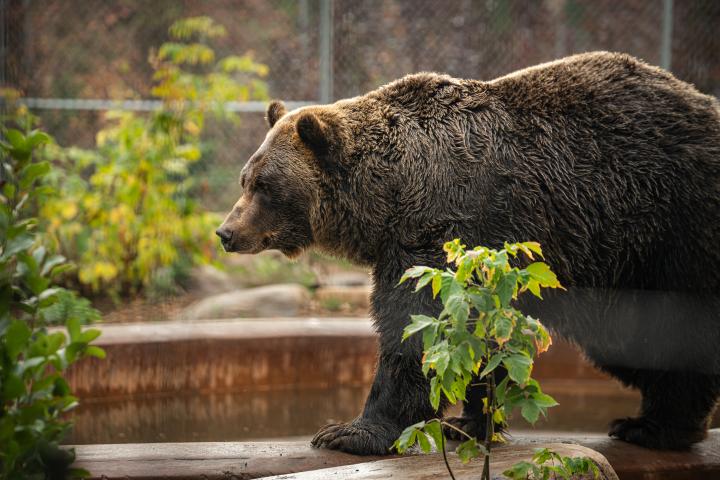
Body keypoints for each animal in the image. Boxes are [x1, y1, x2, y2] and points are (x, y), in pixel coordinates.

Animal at [216, 51, 720, 455]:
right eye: (245, 179)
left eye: (264, 186)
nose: (226, 232)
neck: (389, 198)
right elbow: (477, 334)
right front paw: (468, 422)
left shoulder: (444, 231)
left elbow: (418, 329)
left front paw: (348, 432)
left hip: (666, 228)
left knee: (665, 331)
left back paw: (655, 427)